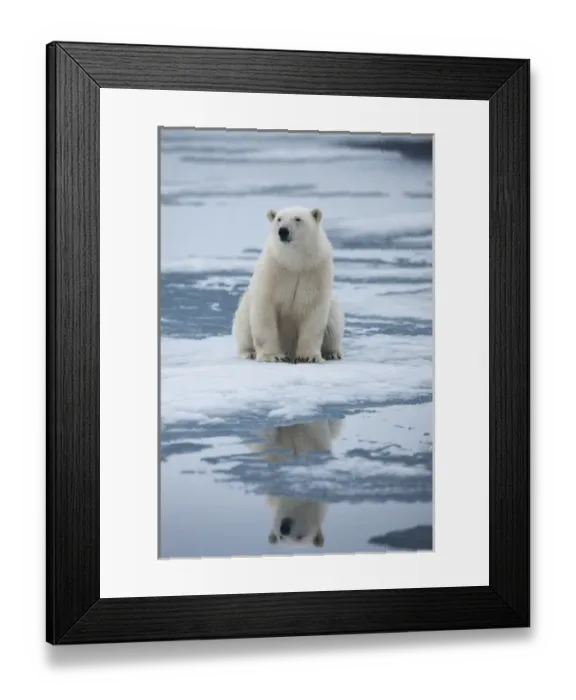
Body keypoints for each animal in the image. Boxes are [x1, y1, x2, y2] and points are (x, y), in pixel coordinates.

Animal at [232, 206, 344, 363]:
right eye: (279, 219)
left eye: (297, 219)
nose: (283, 230)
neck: (294, 262)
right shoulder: (273, 271)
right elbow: (265, 311)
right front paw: (272, 356)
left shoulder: (315, 271)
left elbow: (314, 312)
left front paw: (309, 357)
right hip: (245, 307)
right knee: (243, 324)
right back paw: (249, 352)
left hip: (333, 309)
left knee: (334, 322)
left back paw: (332, 353)